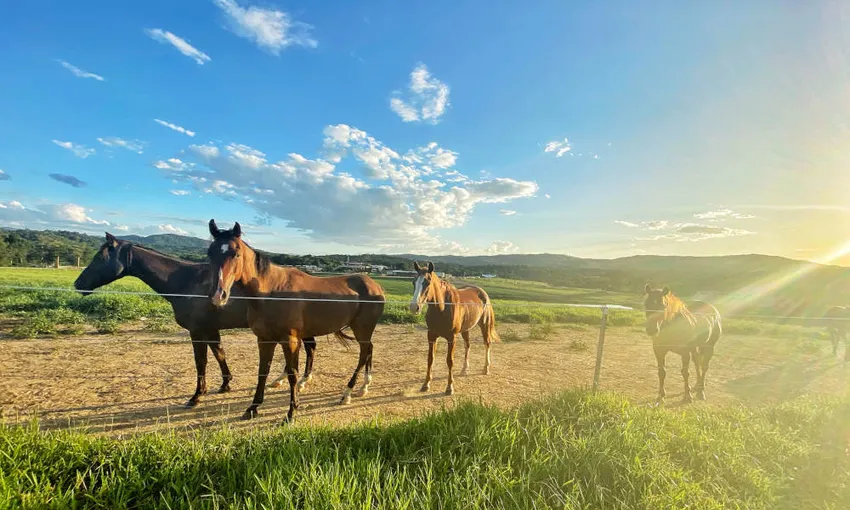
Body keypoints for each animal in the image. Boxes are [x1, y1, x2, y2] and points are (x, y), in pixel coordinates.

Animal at [73, 233, 347, 408]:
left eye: (99, 258)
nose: (78, 284)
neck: (186, 282)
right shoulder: (211, 329)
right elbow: (219, 354)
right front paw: (225, 384)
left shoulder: (197, 332)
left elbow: (202, 363)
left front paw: (196, 396)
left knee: (310, 349)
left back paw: (302, 381)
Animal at [206, 220, 386, 423]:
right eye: (209, 253)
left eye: (236, 254)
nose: (218, 295)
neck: (271, 292)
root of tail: (375, 286)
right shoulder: (264, 340)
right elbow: (263, 372)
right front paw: (253, 408)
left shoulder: (290, 340)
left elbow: (292, 373)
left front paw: (291, 412)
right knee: (369, 350)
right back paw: (364, 386)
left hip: (362, 328)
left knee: (364, 354)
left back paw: (347, 392)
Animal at [408, 261, 499, 395]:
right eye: (414, 282)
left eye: (427, 283)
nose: (414, 307)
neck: (442, 308)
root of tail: (482, 293)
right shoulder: (431, 336)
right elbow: (430, 359)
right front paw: (425, 384)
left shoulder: (451, 338)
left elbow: (450, 361)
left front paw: (449, 387)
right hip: (466, 330)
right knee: (468, 345)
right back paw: (464, 369)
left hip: (484, 324)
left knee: (487, 343)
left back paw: (486, 368)